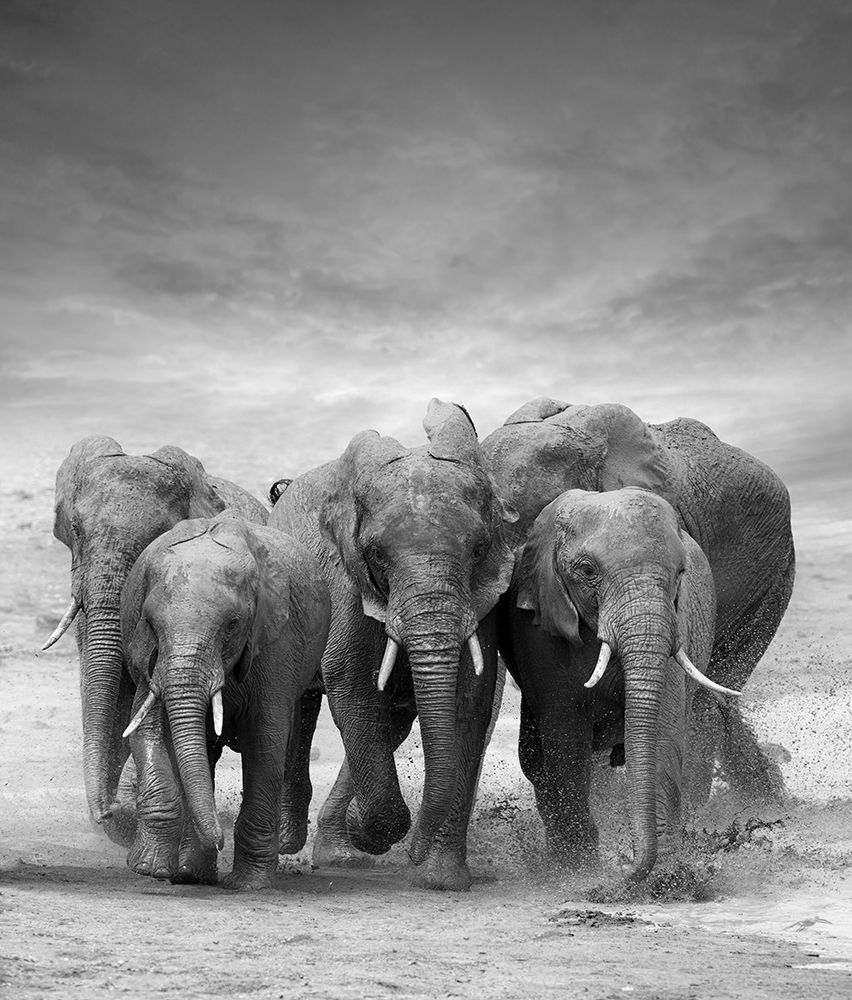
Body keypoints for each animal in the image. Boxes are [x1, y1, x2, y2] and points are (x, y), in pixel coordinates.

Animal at [44, 435, 268, 846]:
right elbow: (108, 692)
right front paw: (117, 816)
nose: (104, 811)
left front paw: (124, 814)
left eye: (157, 537)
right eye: (76, 530)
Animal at [120, 511, 330, 890]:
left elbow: (266, 738)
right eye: (151, 623)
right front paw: (150, 868)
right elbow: (148, 728)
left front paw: (248, 885)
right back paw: (190, 872)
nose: (218, 839)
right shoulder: (147, 654)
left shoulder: (276, 641)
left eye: (232, 624)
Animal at [269, 399, 518, 890]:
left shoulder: (481, 599)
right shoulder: (345, 578)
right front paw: (372, 831)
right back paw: (290, 841)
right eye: (377, 555)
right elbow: (351, 680)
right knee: (300, 705)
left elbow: (468, 697)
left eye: (479, 550)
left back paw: (341, 853)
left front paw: (440, 878)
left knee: (392, 722)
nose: (415, 856)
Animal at [506, 487, 735, 880]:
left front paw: (668, 879)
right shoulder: (539, 631)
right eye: (587, 571)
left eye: (680, 572)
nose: (625, 870)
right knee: (536, 759)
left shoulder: (676, 623)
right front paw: (579, 870)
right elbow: (564, 737)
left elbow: (661, 730)